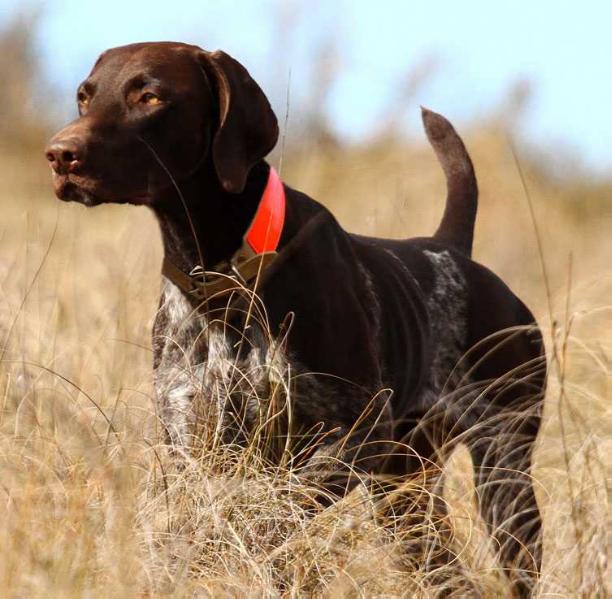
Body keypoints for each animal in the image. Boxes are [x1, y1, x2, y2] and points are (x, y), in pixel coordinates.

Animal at [46, 43, 544, 596]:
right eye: (84, 96)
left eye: (149, 95)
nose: (60, 154)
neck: (221, 276)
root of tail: (451, 249)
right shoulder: (190, 441)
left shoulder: (354, 434)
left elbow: (265, 518)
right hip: (406, 497)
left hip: (503, 477)